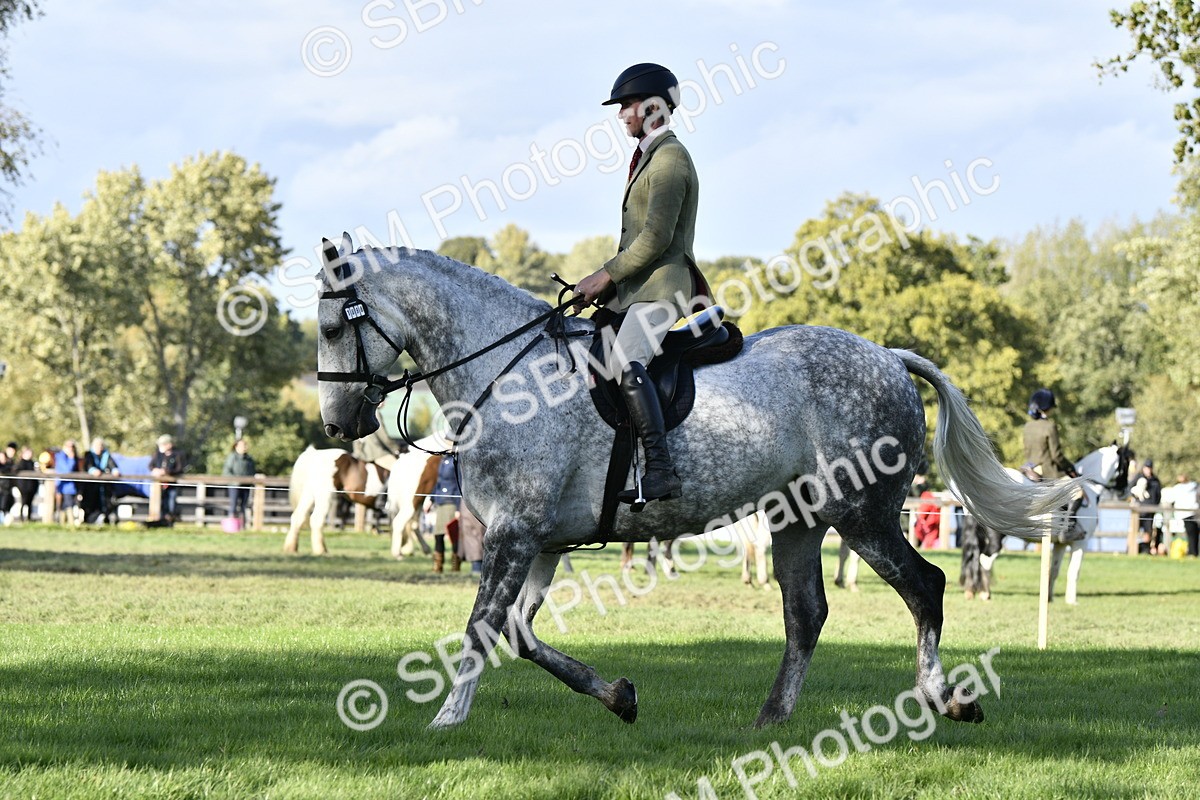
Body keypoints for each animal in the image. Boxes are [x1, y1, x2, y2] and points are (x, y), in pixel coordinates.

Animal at [314, 238, 1079, 729]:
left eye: (329, 326)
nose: (337, 422)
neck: (512, 371)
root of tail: (886, 356)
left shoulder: (515, 532)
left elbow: (481, 628)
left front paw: (445, 721)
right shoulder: (541, 540)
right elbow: (523, 635)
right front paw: (618, 696)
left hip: (861, 515)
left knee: (925, 587)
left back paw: (944, 699)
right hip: (797, 521)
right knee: (806, 614)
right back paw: (770, 719)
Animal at [1000, 443, 1131, 604]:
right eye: (1127, 462)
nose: (1125, 491)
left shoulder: (1059, 544)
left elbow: (1054, 570)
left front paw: (1049, 598)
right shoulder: (1081, 543)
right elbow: (1074, 571)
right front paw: (1072, 601)